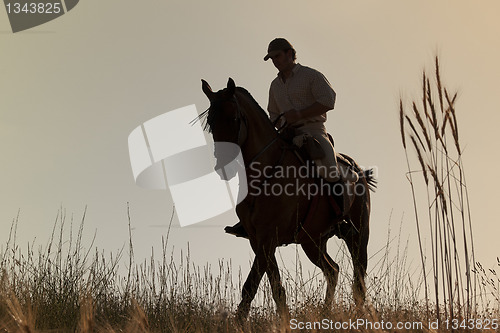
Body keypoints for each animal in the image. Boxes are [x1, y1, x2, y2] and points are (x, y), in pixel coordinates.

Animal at [199, 78, 376, 320]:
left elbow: (254, 284)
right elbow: (271, 286)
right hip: (312, 242)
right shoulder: (258, 239)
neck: (267, 173)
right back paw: (324, 313)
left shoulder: (267, 237)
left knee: (358, 278)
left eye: (234, 118)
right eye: (210, 122)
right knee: (333, 271)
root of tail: (359, 171)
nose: (223, 166)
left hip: (358, 235)